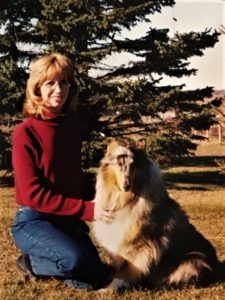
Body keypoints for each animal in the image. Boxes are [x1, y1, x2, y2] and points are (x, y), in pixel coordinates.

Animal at [92, 140, 218, 290]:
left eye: (133, 165)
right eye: (119, 163)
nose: (126, 186)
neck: (125, 199)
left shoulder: (139, 246)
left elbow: (125, 271)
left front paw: (109, 289)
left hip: (192, 261)